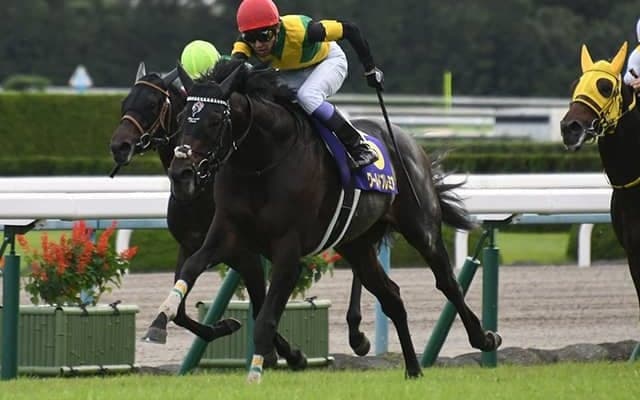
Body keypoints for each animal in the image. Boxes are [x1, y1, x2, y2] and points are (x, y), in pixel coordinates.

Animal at [109, 62, 309, 368]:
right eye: (125, 102)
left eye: (152, 104)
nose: (119, 145)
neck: (200, 191)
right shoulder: (190, 246)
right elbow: (179, 308)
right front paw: (223, 326)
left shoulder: (244, 255)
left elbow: (260, 303)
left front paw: (285, 353)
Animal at [147, 58, 501, 382]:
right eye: (183, 118)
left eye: (215, 120)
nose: (181, 174)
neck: (260, 163)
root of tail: (408, 140)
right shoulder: (226, 233)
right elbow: (192, 270)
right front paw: (159, 323)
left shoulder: (287, 251)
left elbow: (265, 318)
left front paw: (260, 371)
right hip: (356, 244)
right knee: (391, 296)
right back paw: (413, 369)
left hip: (420, 226)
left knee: (447, 282)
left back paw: (484, 338)